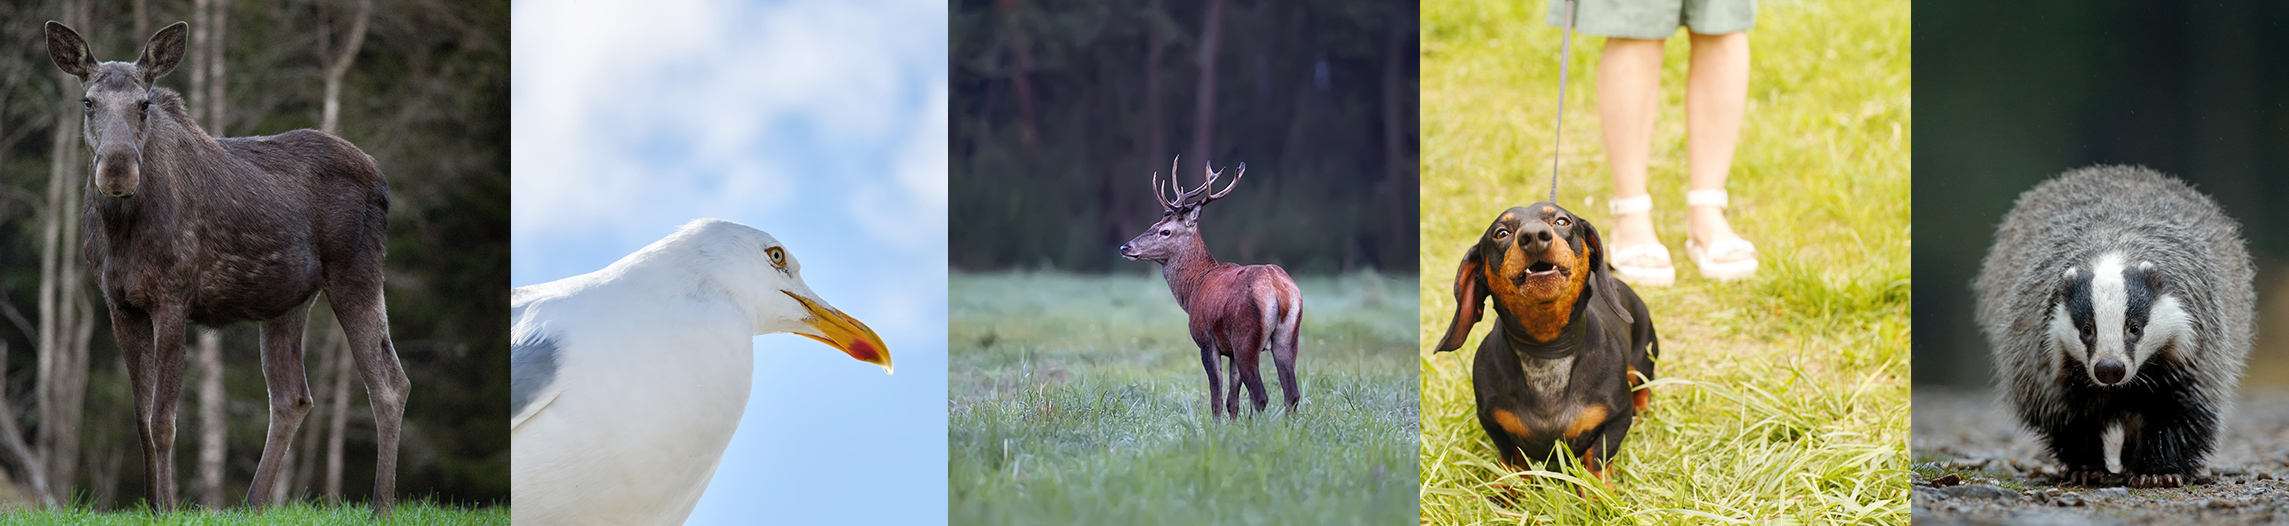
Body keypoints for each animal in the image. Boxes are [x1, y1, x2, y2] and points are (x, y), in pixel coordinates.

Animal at [45, 22, 412, 516]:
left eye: (144, 103)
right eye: (88, 101)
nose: (117, 169)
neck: (121, 231)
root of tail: (381, 178)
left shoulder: (173, 297)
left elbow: (163, 419)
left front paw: (168, 507)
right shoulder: (119, 304)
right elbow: (141, 420)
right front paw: (152, 505)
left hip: (358, 272)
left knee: (390, 383)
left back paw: (381, 505)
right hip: (288, 301)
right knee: (292, 396)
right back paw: (254, 503)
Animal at [1121, 157, 1309, 416]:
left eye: (1165, 231)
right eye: (1154, 223)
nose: (1125, 247)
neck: (1193, 289)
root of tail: (1280, 291)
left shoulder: (1206, 340)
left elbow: (1217, 398)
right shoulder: (1229, 350)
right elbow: (1232, 400)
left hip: (1246, 338)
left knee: (1260, 396)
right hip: (1288, 337)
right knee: (1291, 395)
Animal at [1428, 201, 1666, 484]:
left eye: (1562, 221)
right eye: (1501, 233)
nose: (1533, 237)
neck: (1547, 351)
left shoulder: (1617, 418)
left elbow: (1596, 458)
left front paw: (1596, 492)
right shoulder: (1491, 422)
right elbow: (1513, 459)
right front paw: (1509, 491)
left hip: (1643, 361)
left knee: (1643, 387)